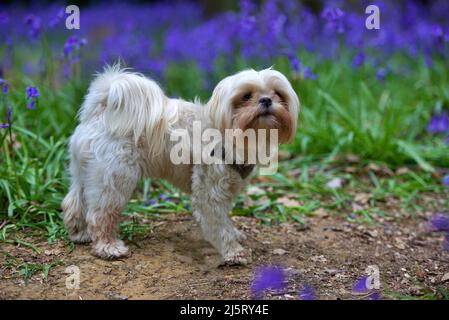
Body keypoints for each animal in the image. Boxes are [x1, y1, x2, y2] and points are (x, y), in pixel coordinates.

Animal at [59, 63, 298, 264]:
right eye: (246, 95)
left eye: (278, 93)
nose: (266, 100)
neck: (237, 135)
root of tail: (99, 110)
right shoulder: (209, 191)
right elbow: (218, 224)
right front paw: (233, 251)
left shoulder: (229, 186)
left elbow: (225, 218)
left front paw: (235, 235)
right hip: (115, 179)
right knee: (100, 214)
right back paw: (108, 247)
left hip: (86, 174)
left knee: (74, 203)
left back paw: (80, 234)